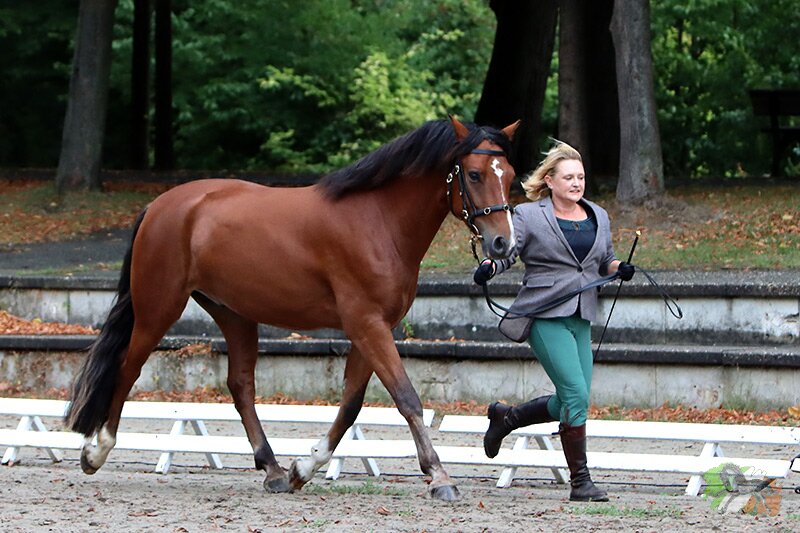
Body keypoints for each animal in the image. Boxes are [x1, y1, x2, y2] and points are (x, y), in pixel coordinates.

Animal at [64, 115, 519, 501]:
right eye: (474, 174)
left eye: (511, 175)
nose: (504, 244)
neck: (378, 220)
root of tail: (160, 206)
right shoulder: (366, 324)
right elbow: (406, 398)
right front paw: (440, 477)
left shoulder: (373, 326)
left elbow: (351, 405)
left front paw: (303, 468)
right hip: (159, 308)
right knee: (127, 368)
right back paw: (96, 450)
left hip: (234, 314)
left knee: (240, 386)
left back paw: (273, 470)